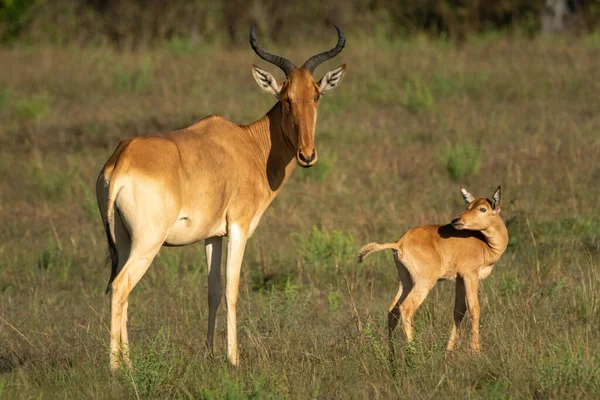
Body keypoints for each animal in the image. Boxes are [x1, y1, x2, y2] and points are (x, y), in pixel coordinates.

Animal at [97, 25, 346, 372]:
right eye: (285, 98)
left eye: (316, 95)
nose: (307, 155)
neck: (248, 144)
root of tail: (122, 159)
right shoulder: (238, 228)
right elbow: (232, 288)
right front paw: (233, 359)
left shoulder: (212, 236)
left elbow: (212, 290)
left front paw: (210, 354)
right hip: (148, 242)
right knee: (121, 286)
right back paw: (118, 369)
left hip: (122, 241)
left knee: (120, 289)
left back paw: (127, 363)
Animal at [358, 188, 508, 354]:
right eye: (469, 206)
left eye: (482, 208)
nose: (456, 220)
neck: (483, 242)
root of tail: (399, 243)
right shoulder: (470, 275)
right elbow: (474, 309)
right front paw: (476, 351)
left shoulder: (459, 278)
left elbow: (458, 311)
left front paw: (448, 352)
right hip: (424, 283)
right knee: (406, 309)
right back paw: (413, 352)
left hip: (406, 282)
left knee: (393, 311)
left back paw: (392, 356)